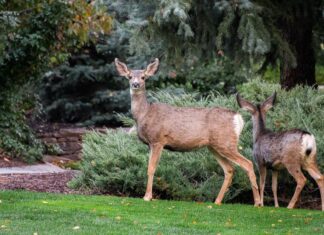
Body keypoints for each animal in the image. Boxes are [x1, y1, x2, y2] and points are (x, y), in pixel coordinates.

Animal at [114, 58, 260, 206]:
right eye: (129, 76)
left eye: (144, 77)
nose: (135, 84)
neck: (144, 114)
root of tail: (238, 117)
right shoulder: (150, 144)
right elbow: (148, 167)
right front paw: (147, 195)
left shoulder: (158, 140)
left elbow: (151, 168)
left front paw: (147, 196)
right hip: (214, 146)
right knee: (229, 169)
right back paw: (217, 201)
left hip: (226, 142)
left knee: (248, 163)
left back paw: (258, 203)